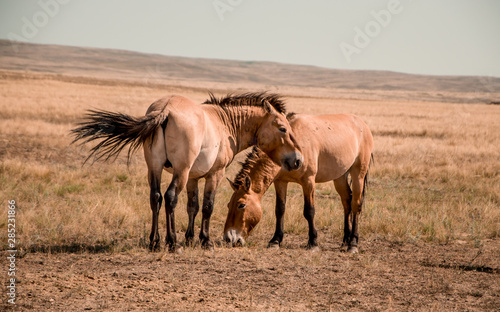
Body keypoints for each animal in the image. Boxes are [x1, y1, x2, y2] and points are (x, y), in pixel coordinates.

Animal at [72, 92, 302, 251]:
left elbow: (193, 206)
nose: (298, 159)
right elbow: (207, 206)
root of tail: (165, 110)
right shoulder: (214, 174)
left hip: (154, 168)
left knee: (155, 197)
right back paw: (172, 243)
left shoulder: (193, 177)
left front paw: (190, 238)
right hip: (179, 172)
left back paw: (154, 242)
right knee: (170, 197)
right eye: (283, 128)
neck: (225, 123)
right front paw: (204, 241)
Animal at [225, 113, 374, 252]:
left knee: (355, 205)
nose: (229, 238)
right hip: (340, 177)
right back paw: (345, 240)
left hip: (358, 174)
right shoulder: (280, 182)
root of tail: (364, 125)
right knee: (346, 202)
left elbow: (309, 211)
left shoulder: (308, 181)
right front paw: (275, 241)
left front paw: (313, 242)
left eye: (241, 205)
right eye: (228, 205)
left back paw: (353, 243)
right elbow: (280, 210)